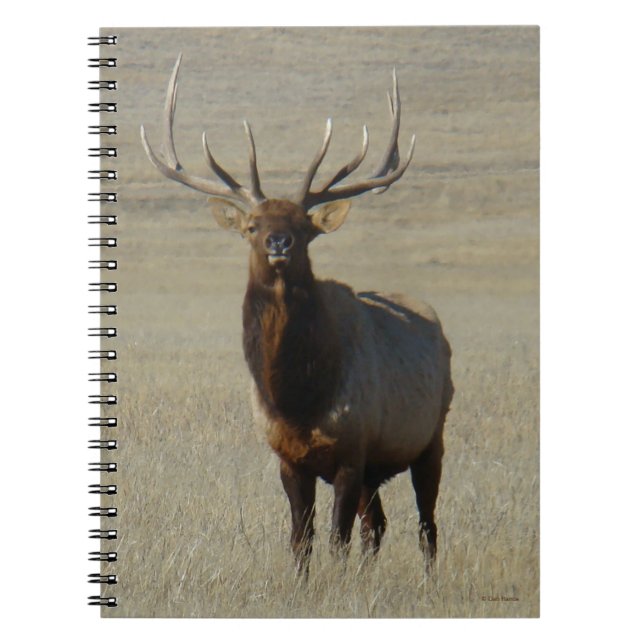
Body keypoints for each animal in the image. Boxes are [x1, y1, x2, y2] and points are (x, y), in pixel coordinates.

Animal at [141, 55, 454, 576]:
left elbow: (336, 539)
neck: (298, 398)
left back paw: (428, 580)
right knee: (377, 525)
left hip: (432, 435)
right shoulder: (289, 457)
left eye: (305, 227)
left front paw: (335, 584)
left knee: (426, 525)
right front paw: (304, 583)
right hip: (378, 468)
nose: (279, 241)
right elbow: (299, 540)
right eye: (252, 225)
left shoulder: (351, 450)